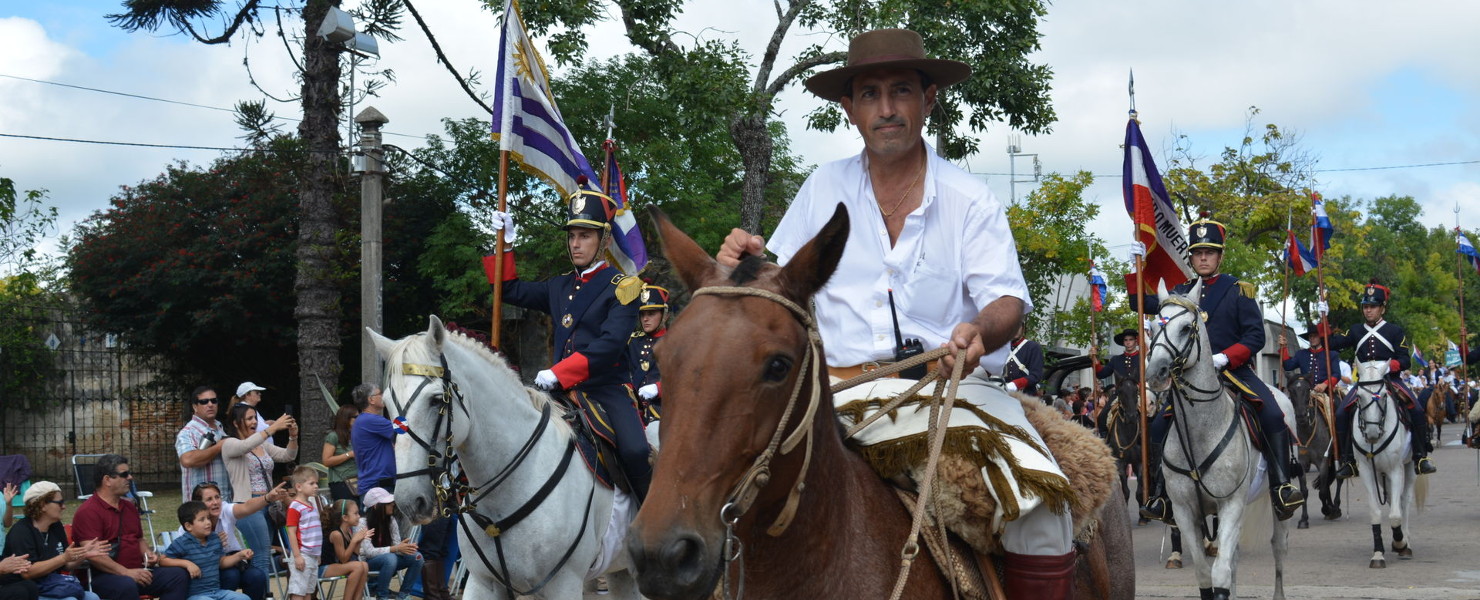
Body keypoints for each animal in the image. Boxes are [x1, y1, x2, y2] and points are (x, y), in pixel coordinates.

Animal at [1355, 357, 1420, 568]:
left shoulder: (1395, 469)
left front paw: (1400, 542)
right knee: (1393, 499)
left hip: (1409, 467)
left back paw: (1405, 542)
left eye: (1383, 395)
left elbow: (1395, 514)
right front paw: (1378, 554)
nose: (1372, 433)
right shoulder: (1367, 471)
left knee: (1403, 501)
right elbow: (1376, 512)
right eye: (1359, 396)